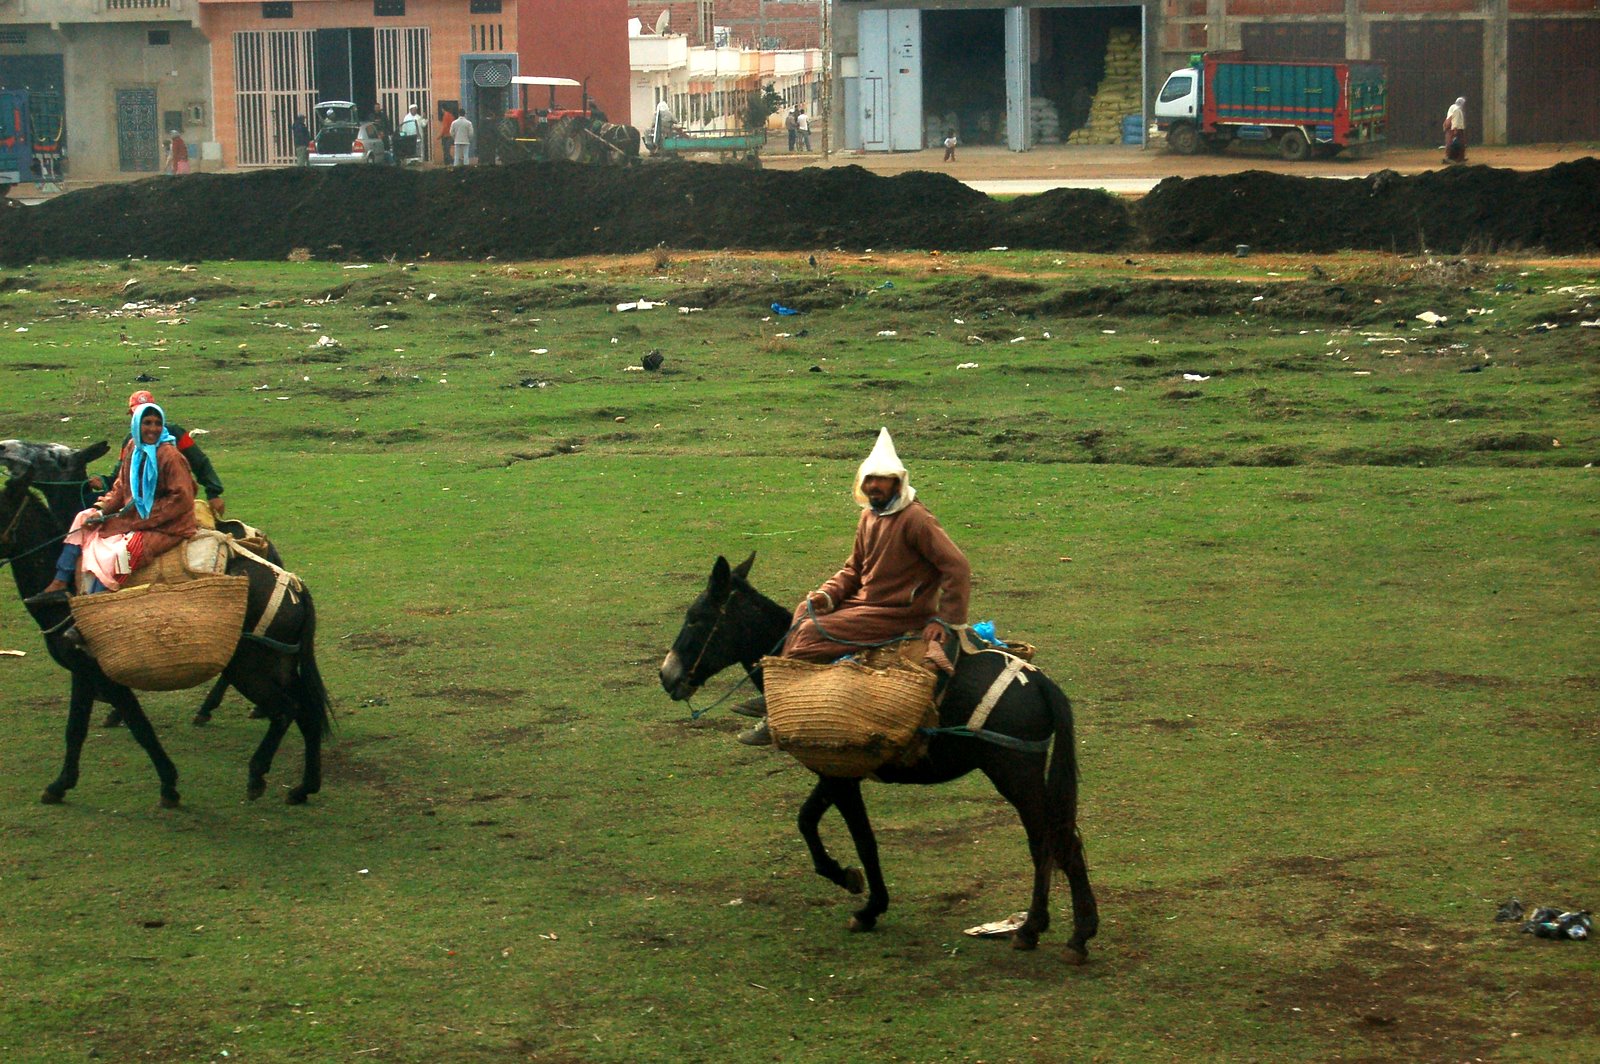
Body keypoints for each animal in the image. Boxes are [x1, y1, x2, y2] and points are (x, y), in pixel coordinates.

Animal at [0, 470, 333, 807]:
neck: (63, 593)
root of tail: (296, 587)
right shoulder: (83, 672)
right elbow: (76, 728)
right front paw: (60, 784)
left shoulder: (102, 674)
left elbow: (139, 726)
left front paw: (169, 785)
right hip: (279, 664)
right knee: (307, 711)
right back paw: (304, 787)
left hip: (249, 670)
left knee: (286, 709)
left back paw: (256, 773)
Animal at [659, 554, 1099, 960]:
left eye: (696, 619)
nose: (667, 676)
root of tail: (1039, 682)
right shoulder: (835, 773)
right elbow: (807, 820)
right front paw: (849, 879)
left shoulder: (840, 776)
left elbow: (861, 838)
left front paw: (868, 905)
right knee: (1057, 839)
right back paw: (1061, 930)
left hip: (1014, 774)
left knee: (1048, 841)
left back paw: (1051, 931)